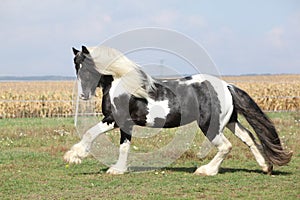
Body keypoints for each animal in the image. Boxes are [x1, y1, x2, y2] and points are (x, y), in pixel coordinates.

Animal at [64, 45, 292, 175]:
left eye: (88, 67)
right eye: (76, 66)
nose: (84, 95)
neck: (122, 83)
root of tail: (227, 86)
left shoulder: (115, 119)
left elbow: (90, 133)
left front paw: (73, 156)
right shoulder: (125, 125)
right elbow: (124, 147)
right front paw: (118, 169)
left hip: (210, 125)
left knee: (226, 146)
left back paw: (206, 171)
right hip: (229, 121)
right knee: (249, 138)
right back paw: (266, 167)